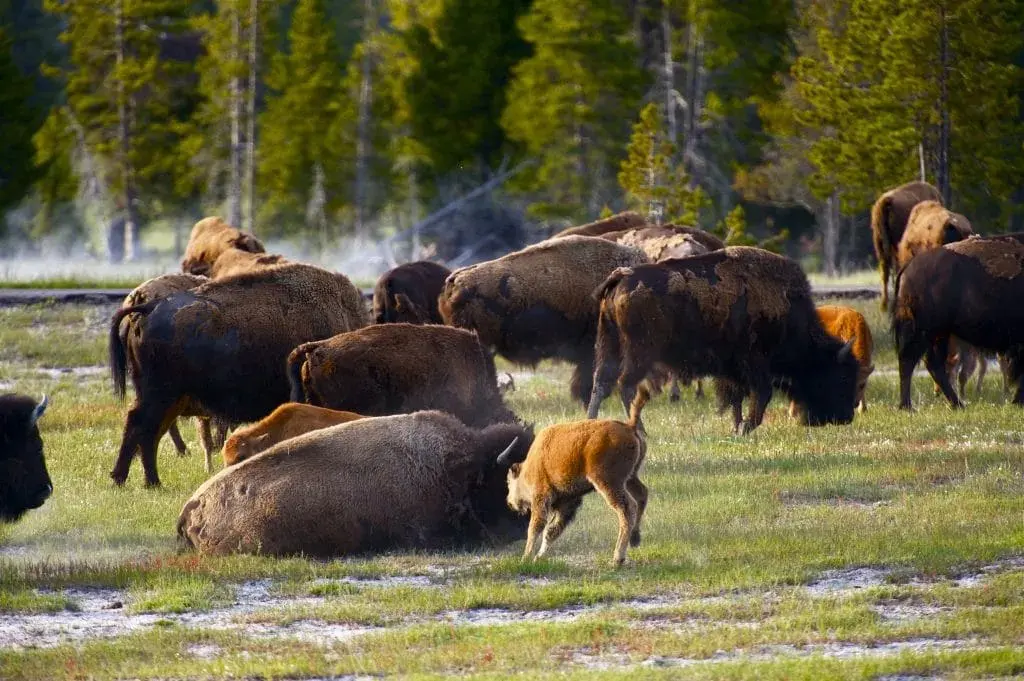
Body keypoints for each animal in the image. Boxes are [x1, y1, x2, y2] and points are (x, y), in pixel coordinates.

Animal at [587, 247, 858, 434]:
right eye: (842, 376)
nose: (846, 417)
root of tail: (621, 278)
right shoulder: (755, 362)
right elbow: (761, 393)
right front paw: (746, 427)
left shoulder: (733, 369)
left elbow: (736, 396)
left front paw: (737, 427)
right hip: (640, 352)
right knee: (625, 385)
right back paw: (640, 430)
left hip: (609, 343)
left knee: (601, 382)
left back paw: (590, 422)